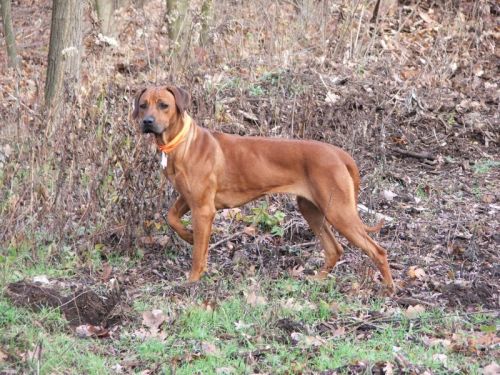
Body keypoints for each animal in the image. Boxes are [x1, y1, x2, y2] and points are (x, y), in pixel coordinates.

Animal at [133, 86, 394, 294]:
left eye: (164, 105)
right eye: (143, 105)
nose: (147, 121)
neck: (181, 143)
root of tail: (339, 153)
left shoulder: (203, 208)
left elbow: (198, 254)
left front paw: (192, 280)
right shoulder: (188, 199)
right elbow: (171, 218)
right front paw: (188, 235)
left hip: (339, 212)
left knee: (378, 250)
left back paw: (389, 288)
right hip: (311, 209)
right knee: (334, 249)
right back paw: (318, 280)